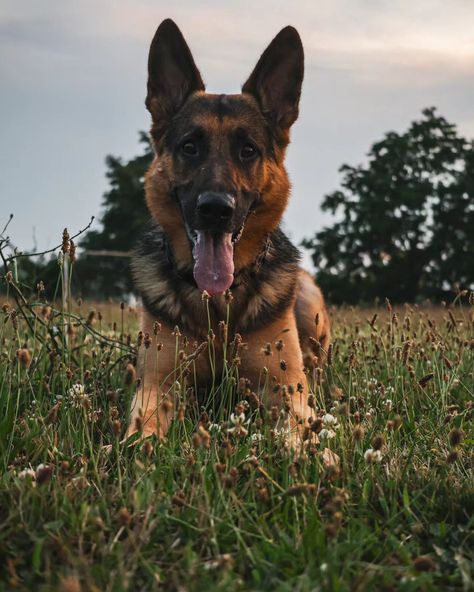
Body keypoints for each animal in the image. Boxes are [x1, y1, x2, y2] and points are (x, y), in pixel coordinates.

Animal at [128, 19, 332, 444]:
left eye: (248, 150)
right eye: (189, 147)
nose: (215, 210)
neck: (218, 304)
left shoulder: (284, 388)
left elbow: (298, 430)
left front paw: (315, 453)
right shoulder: (157, 384)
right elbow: (144, 429)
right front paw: (131, 451)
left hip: (308, 298)